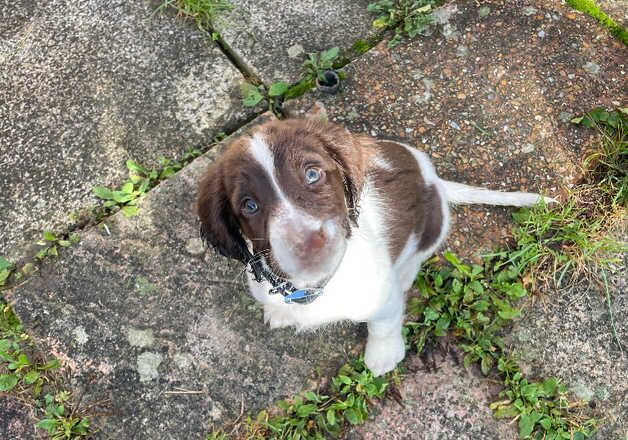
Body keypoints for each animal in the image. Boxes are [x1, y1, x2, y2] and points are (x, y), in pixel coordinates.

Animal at [196, 117, 548, 374]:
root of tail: (435, 181)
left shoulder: (381, 296)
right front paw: (279, 311)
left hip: (434, 227)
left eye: (312, 174)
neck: (317, 286)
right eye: (249, 205)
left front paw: (382, 355)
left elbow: (383, 324)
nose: (309, 243)